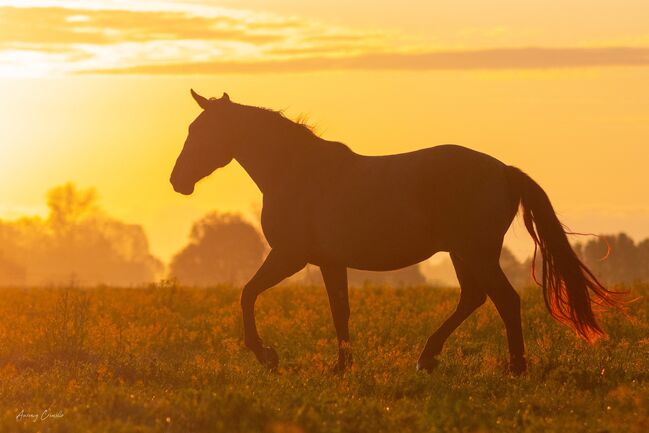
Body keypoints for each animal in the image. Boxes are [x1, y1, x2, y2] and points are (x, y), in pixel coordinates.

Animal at [168, 89, 624, 372]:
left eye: (202, 132)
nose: (177, 181)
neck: (298, 173)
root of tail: (503, 171)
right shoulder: (329, 262)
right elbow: (339, 311)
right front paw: (342, 367)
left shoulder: (289, 256)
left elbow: (247, 294)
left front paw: (266, 355)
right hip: (462, 253)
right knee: (474, 298)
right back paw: (428, 358)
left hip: (475, 252)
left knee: (505, 301)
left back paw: (514, 368)